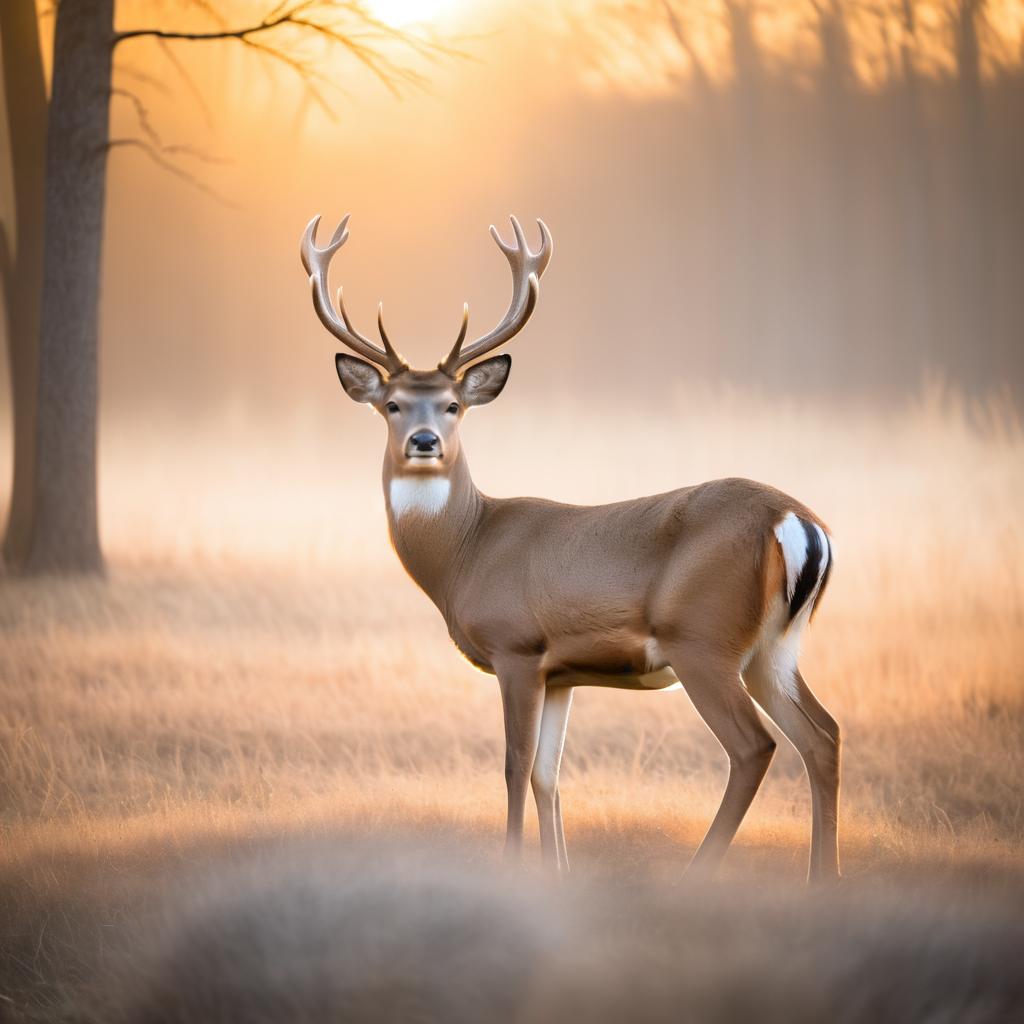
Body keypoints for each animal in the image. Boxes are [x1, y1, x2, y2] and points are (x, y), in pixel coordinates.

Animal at [299, 214, 839, 880]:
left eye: (453, 406)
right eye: (392, 404)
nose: (424, 441)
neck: (466, 551)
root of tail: (797, 522)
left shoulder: (517, 647)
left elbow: (513, 765)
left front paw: (512, 867)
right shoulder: (562, 672)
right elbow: (547, 775)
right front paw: (557, 872)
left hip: (702, 638)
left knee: (755, 745)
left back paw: (699, 871)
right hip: (773, 647)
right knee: (823, 735)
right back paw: (822, 879)